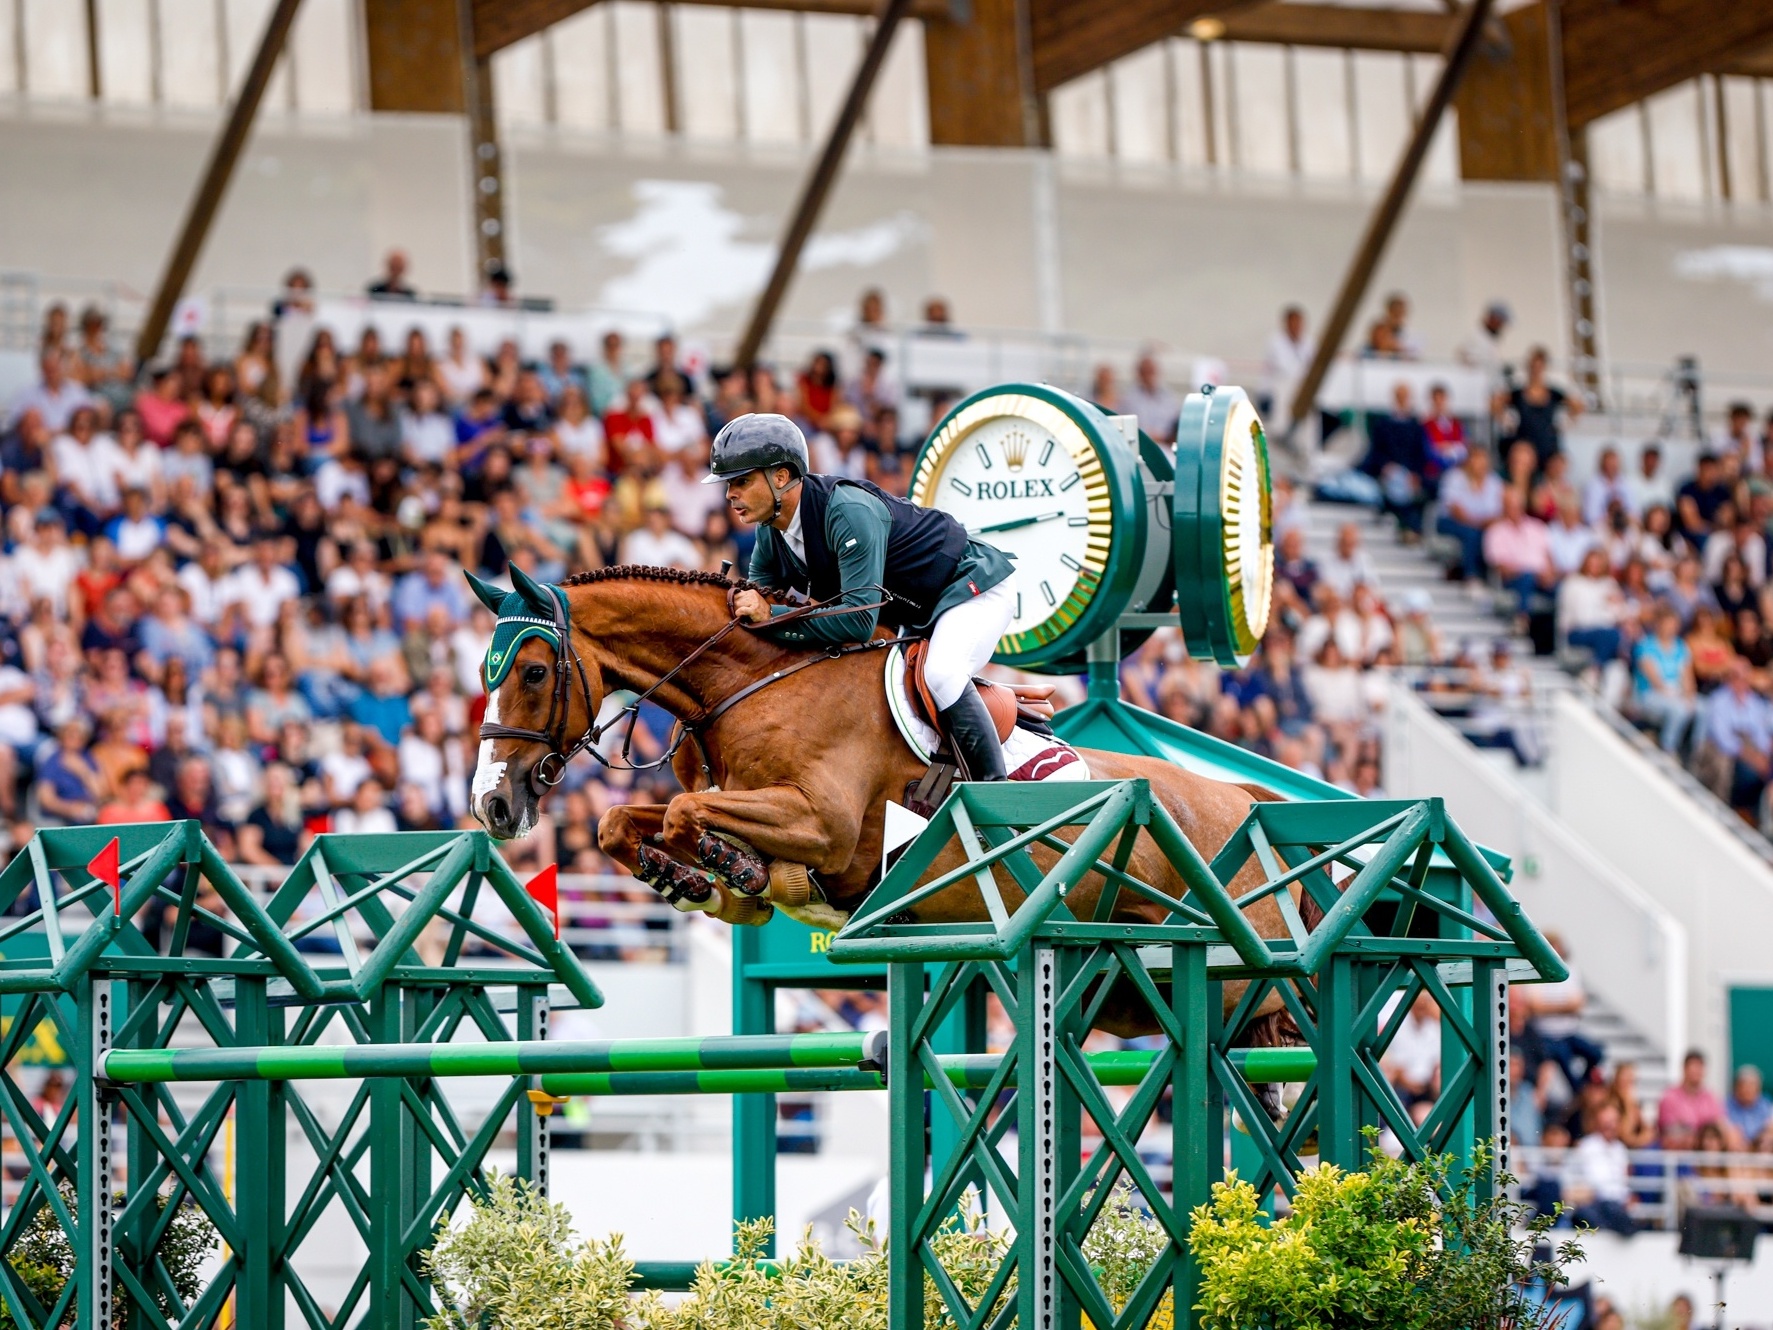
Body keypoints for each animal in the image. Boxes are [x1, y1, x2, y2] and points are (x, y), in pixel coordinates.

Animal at [471, 563, 1304, 1042]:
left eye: (535, 673)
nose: (491, 807)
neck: (752, 683)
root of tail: (1242, 797)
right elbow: (622, 822)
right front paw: (693, 881)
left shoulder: (825, 828)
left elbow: (685, 817)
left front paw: (725, 866)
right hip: (1130, 985)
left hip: (1231, 975)